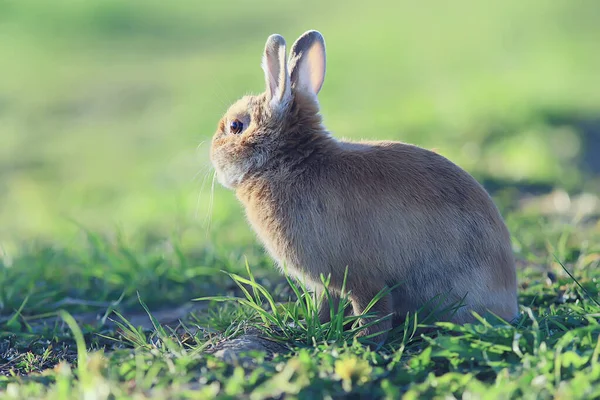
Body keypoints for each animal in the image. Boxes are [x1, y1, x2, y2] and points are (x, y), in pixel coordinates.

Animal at [211, 31, 520, 344]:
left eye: (236, 126)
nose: (212, 155)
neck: (289, 161)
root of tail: (507, 298)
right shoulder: (327, 284)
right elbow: (326, 305)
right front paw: (314, 327)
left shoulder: (360, 277)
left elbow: (374, 308)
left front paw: (362, 339)